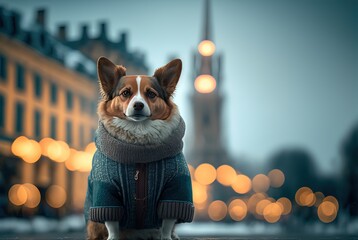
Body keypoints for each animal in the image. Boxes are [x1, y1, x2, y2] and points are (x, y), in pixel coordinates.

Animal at [85, 57, 194, 239]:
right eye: (125, 93)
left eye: (151, 94)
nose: (138, 105)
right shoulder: (106, 191)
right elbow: (112, 223)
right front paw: (113, 237)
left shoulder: (175, 189)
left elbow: (167, 222)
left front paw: (166, 237)